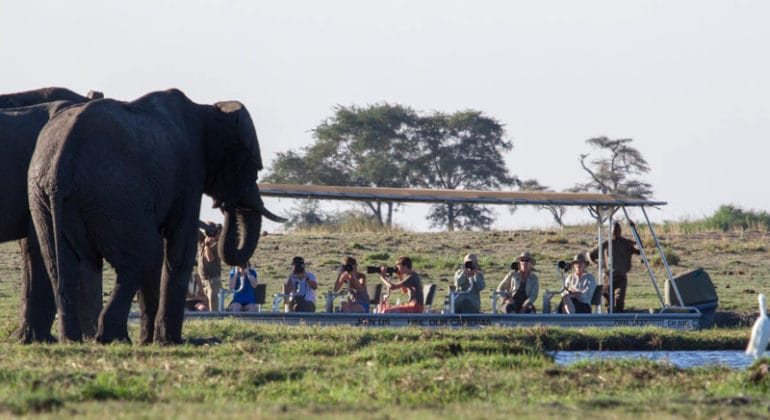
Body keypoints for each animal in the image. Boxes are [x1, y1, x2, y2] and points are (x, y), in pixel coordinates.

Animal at [27, 88, 284, 344]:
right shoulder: (189, 172)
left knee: (62, 267)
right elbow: (180, 249)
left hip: (43, 202)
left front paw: (154, 341)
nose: (222, 212)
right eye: (251, 165)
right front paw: (169, 342)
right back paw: (113, 338)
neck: (208, 110)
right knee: (142, 255)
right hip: (114, 197)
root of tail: (59, 171)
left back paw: (74, 339)